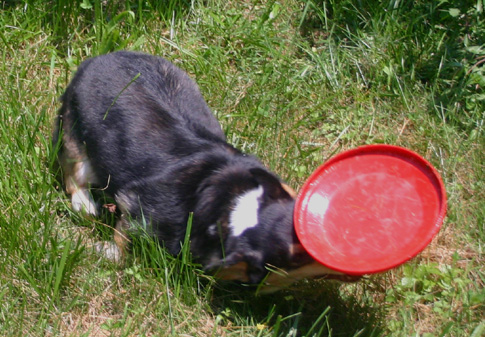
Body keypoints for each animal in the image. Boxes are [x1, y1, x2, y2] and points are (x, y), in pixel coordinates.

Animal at [54, 51, 356, 290]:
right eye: (300, 255)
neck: (232, 206)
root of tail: (96, 59)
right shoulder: (137, 208)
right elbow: (121, 244)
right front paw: (104, 251)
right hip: (77, 140)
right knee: (73, 174)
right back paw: (84, 205)